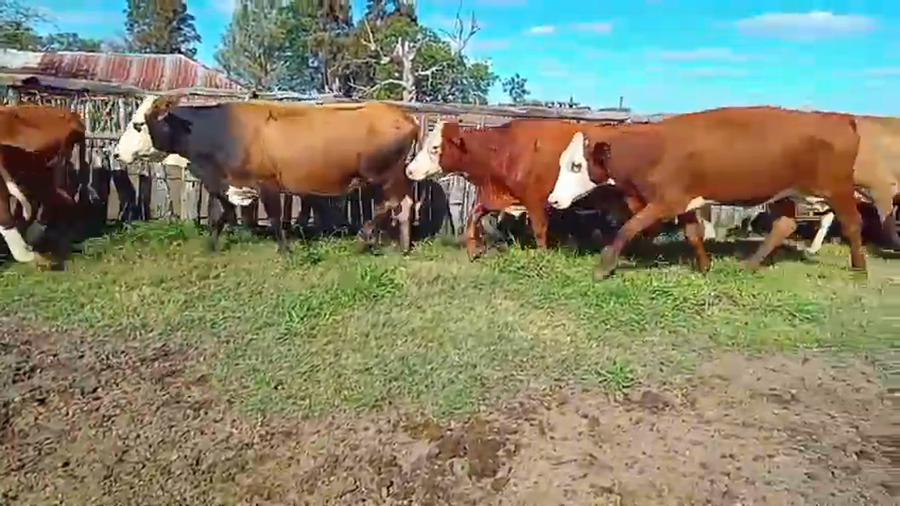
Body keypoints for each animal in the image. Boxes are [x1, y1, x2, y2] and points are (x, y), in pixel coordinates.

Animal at [113, 95, 418, 254]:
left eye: (137, 124)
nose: (116, 154)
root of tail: (405, 116)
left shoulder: (267, 181)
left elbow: (273, 217)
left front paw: (285, 250)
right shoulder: (224, 183)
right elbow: (219, 216)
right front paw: (211, 246)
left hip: (383, 174)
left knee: (391, 204)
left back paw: (366, 237)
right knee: (403, 205)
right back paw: (401, 246)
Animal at [405, 119, 639, 259]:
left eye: (435, 148)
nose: (409, 170)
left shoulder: (536, 201)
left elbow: (540, 230)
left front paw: (543, 256)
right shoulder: (495, 196)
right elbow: (473, 216)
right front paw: (474, 249)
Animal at [547, 106, 865, 279]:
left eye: (576, 165)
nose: (553, 199)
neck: (653, 150)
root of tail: (840, 119)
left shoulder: (665, 201)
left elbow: (628, 227)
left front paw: (604, 266)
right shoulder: (684, 202)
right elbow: (692, 234)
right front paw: (704, 266)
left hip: (837, 189)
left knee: (852, 223)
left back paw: (860, 269)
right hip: (786, 193)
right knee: (784, 226)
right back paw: (749, 264)